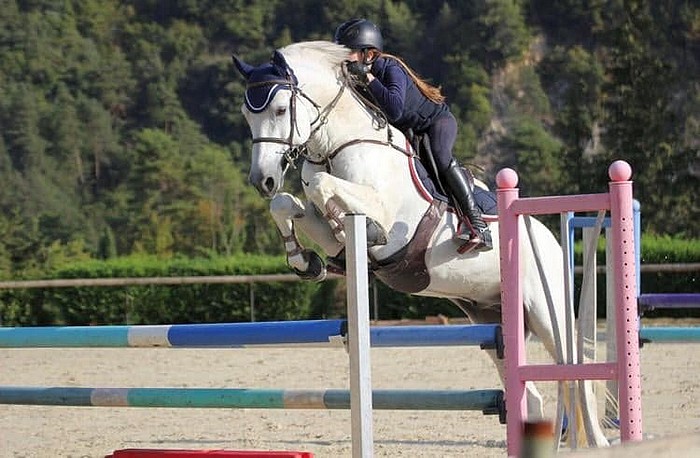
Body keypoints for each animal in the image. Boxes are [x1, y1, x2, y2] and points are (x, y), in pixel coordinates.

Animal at [232, 40, 608, 448]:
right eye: (247, 115)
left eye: (280, 109)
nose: (263, 180)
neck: (338, 144)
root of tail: (551, 241)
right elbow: (287, 204)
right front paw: (305, 261)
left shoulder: (383, 209)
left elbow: (324, 189)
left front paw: (368, 232)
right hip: (489, 318)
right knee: (533, 391)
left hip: (545, 310)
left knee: (576, 375)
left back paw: (601, 441)